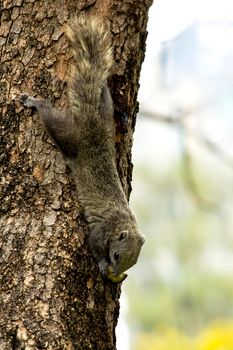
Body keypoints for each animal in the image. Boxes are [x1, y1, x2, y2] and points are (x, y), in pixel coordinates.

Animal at [20, 15, 145, 284]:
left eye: (133, 263)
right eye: (117, 256)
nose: (117, 273)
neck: (123, 223)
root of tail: (91, 121)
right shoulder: (101, 231)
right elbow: (94, 244)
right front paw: (102, 265)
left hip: (105, 109)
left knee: (103, 95)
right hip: (69, 137)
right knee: (50, 116)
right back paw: (34, 102)